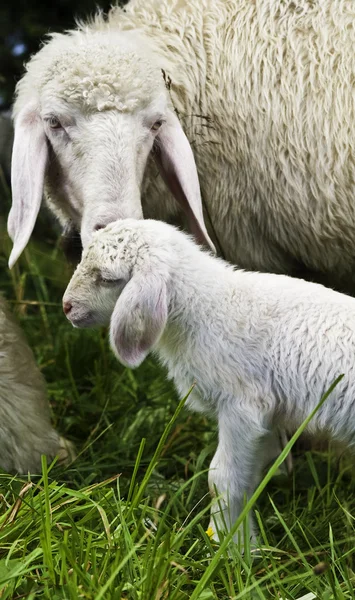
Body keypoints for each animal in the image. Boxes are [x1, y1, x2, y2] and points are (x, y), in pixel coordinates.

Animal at [62, 221, 354, 544]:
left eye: (107, 279)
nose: (66, 307)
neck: (205, 306)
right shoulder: (265, 416)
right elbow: (251, 474)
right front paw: (242, 538)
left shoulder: (241, 406)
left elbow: (221, 479)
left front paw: (229, 545)